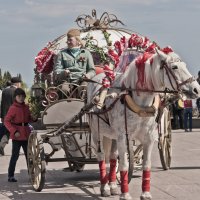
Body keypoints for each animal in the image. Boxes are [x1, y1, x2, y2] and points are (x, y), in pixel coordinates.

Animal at [87, 48, 200, 200]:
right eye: (175, 67)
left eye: (185, 65)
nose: (196, 89)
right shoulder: (123, 137)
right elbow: (124, 165)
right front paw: (125, 194)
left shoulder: (148, 138)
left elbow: (146, 165)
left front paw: (145, 194)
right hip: (96, 131)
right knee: (101, 157)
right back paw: (105, 187)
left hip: (113, 135)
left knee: (112, 157)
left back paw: (113, 186)